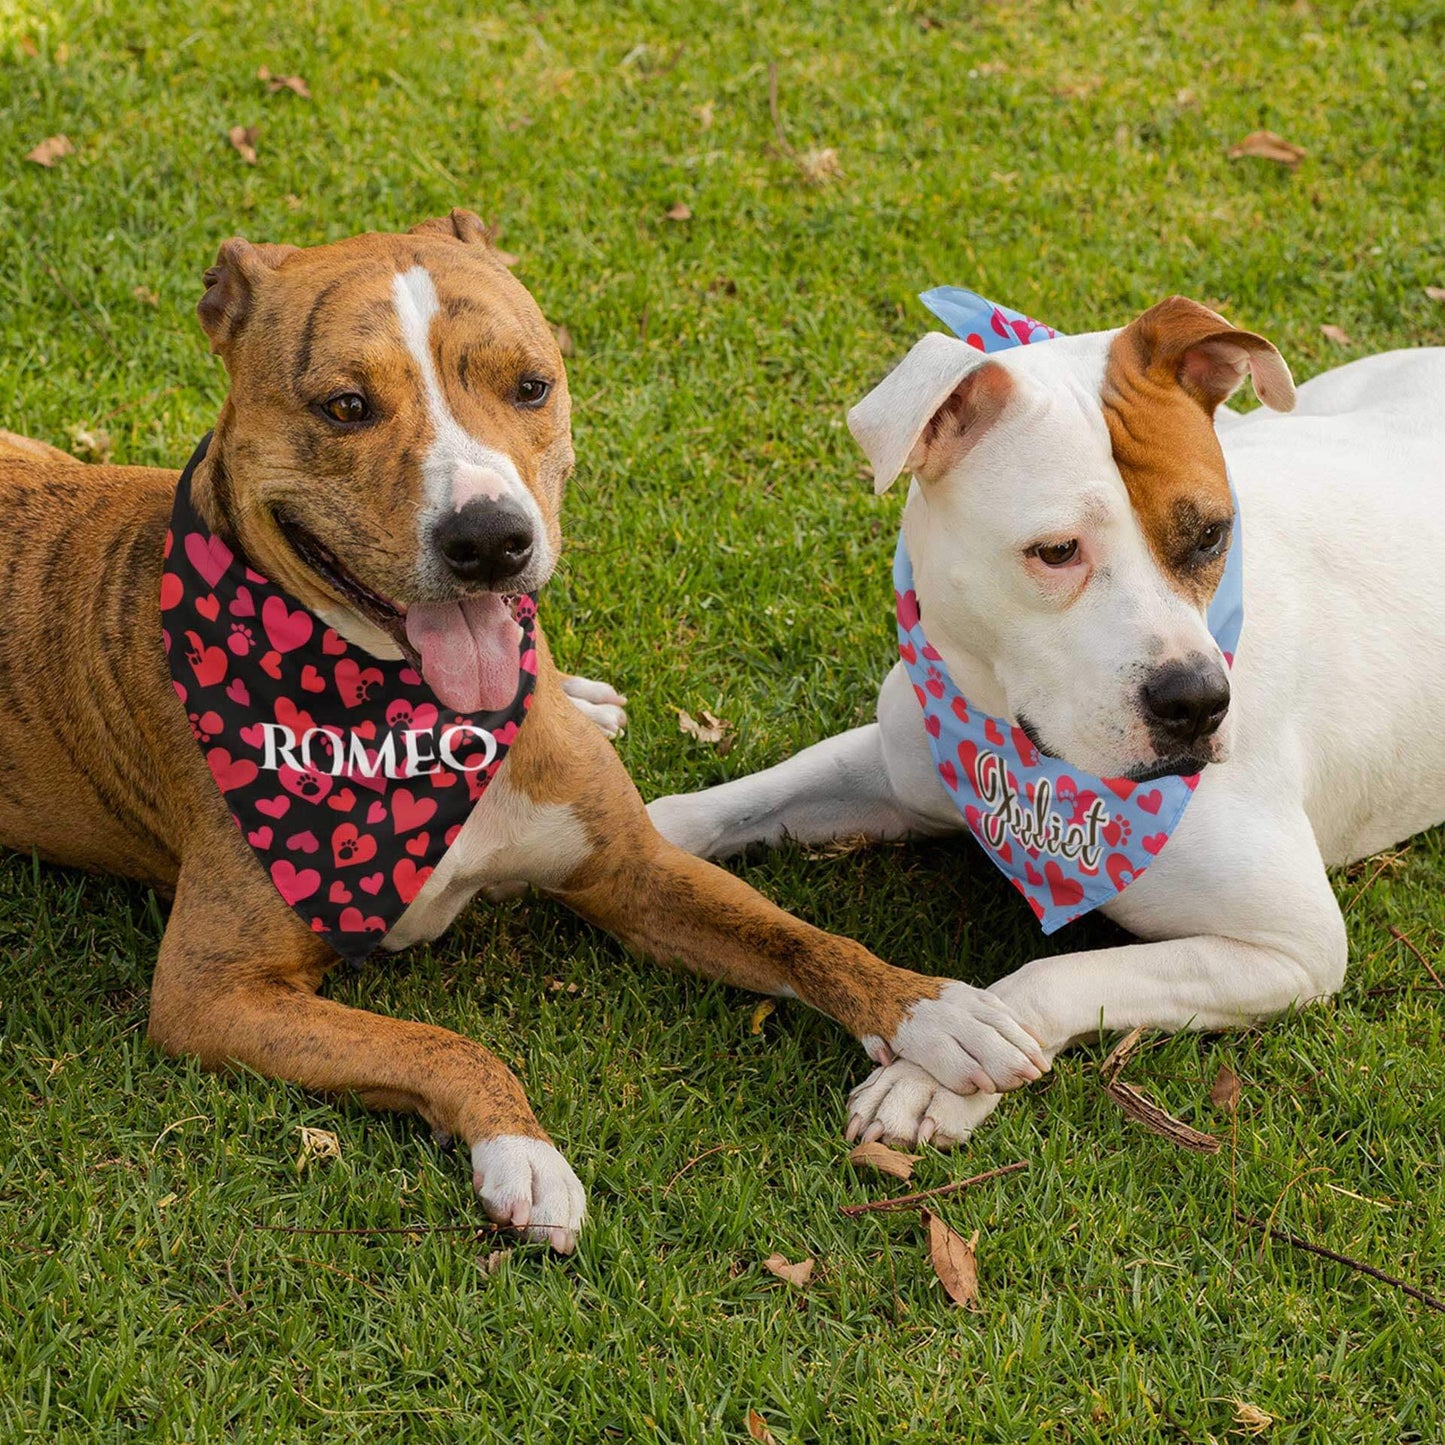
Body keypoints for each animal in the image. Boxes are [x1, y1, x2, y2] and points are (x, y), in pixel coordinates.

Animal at [650, 293, 1445, 1144]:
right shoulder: (901, 766)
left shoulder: (1291, 946)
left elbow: (1056, 973)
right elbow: (741, 799)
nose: (1197, 701)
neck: (1016, 746)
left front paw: (934, 1073)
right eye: (1057, 550)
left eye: (1210, 534)